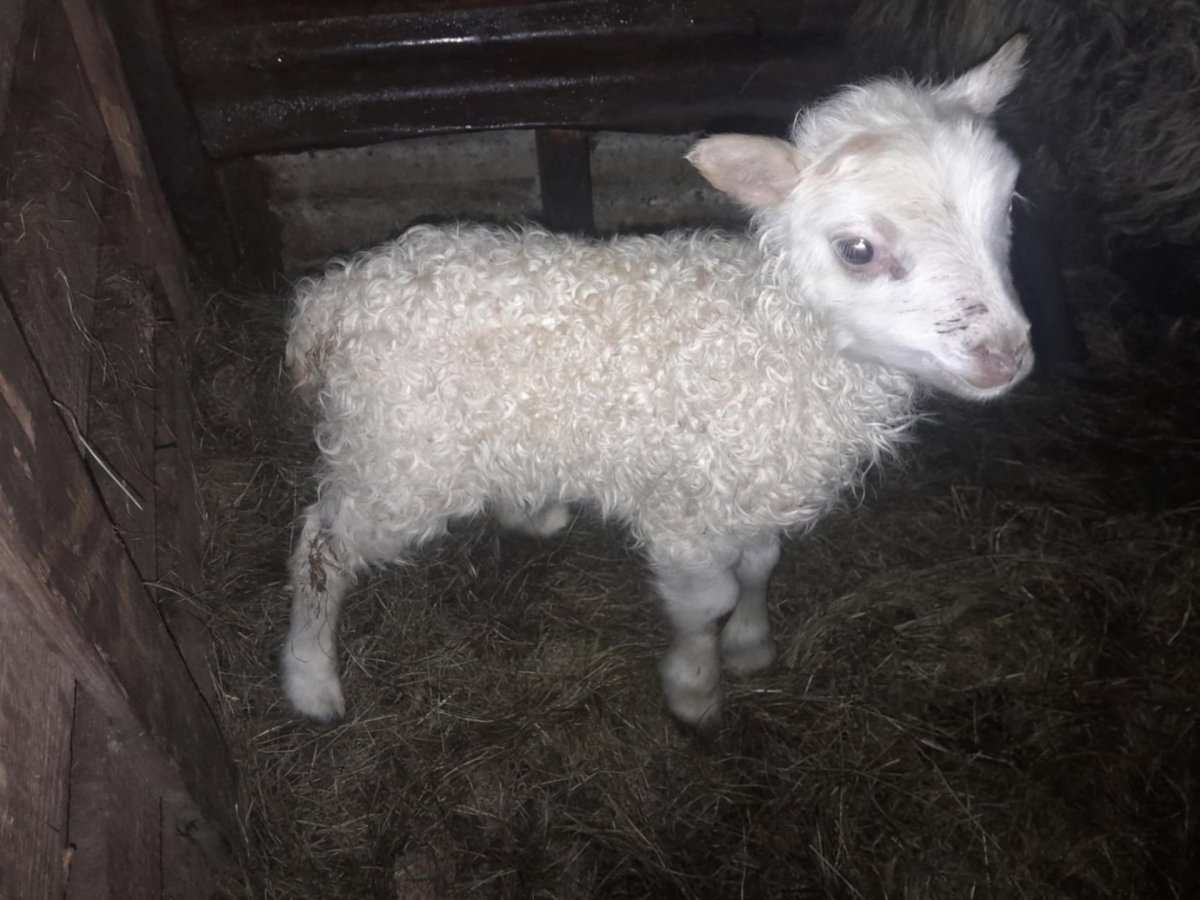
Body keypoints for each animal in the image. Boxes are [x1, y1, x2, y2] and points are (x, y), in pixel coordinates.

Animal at [282, 36, 1034, 727]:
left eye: (1005, 212)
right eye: (857, 250)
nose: (1006, 356)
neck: (772, 341)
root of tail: (333, 297)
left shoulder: (750, 489)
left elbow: (760, 566)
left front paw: (750, 646)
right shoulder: (683, 511)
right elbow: (708, 602)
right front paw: (695, 688)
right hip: (398, 454)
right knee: (323, 541)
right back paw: (310, 678)